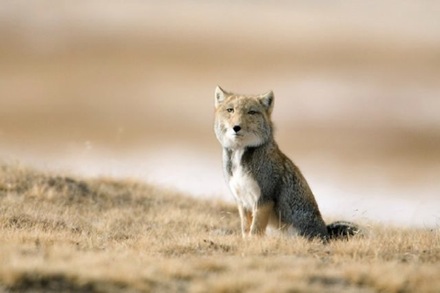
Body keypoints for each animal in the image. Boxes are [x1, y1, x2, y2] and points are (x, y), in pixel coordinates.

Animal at [215, 86, 360, 240]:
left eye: (251, 112)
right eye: (230, 110)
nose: (236, 127)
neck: (240, 155)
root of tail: (326, 233)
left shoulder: (264, 198)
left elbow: (255, 230)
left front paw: (252, 242)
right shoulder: (242, 201)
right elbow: (246, 229)